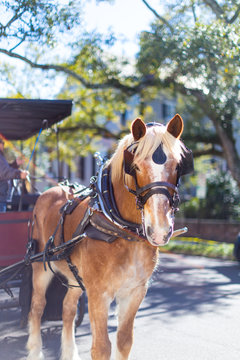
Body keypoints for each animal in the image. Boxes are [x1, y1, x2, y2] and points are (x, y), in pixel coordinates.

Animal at [26, 115, 191, 360]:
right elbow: (101, 347)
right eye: (135, 166)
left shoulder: (135, 291)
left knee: (68, 309)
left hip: (75, 277)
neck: (122, 230)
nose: (159, 229)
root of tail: (52, 190)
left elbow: (124, 341)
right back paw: (35, 350)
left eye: (178, 166)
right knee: (37, 307)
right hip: (40, 266)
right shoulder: (98, 292)